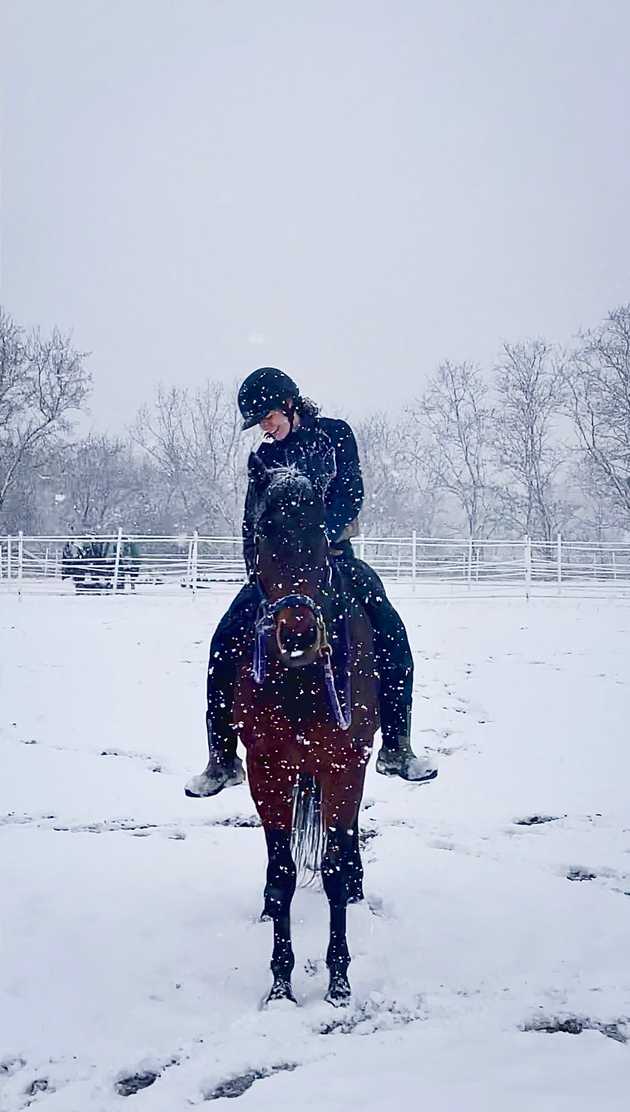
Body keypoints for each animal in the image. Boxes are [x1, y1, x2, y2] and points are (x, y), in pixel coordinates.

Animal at [233, 453, 377, 1009]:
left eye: (320, 531)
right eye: (263, 531)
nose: (298, 634)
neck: (300, 678)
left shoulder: (344, 765)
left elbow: (332, 870)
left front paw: (338, 982)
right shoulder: (267, 768)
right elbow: (282, 875)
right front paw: (280, 985)